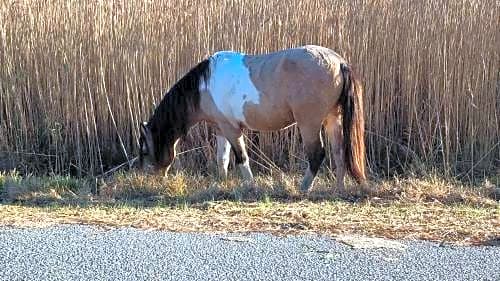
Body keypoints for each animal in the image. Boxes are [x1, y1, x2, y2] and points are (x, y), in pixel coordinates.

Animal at [139, 44, 366, 191]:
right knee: (339, 152)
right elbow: (222, 159)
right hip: (332, 120)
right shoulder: (221, 128)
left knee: (317, 154)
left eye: (145, 150)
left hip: (309, 123)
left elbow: (241, 158)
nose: (150, 179)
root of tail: (339, 62)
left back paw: (303, 189)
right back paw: (338, 188)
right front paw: (221, 184)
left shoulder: (232, 129)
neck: (204, 86)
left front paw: (250, 185)